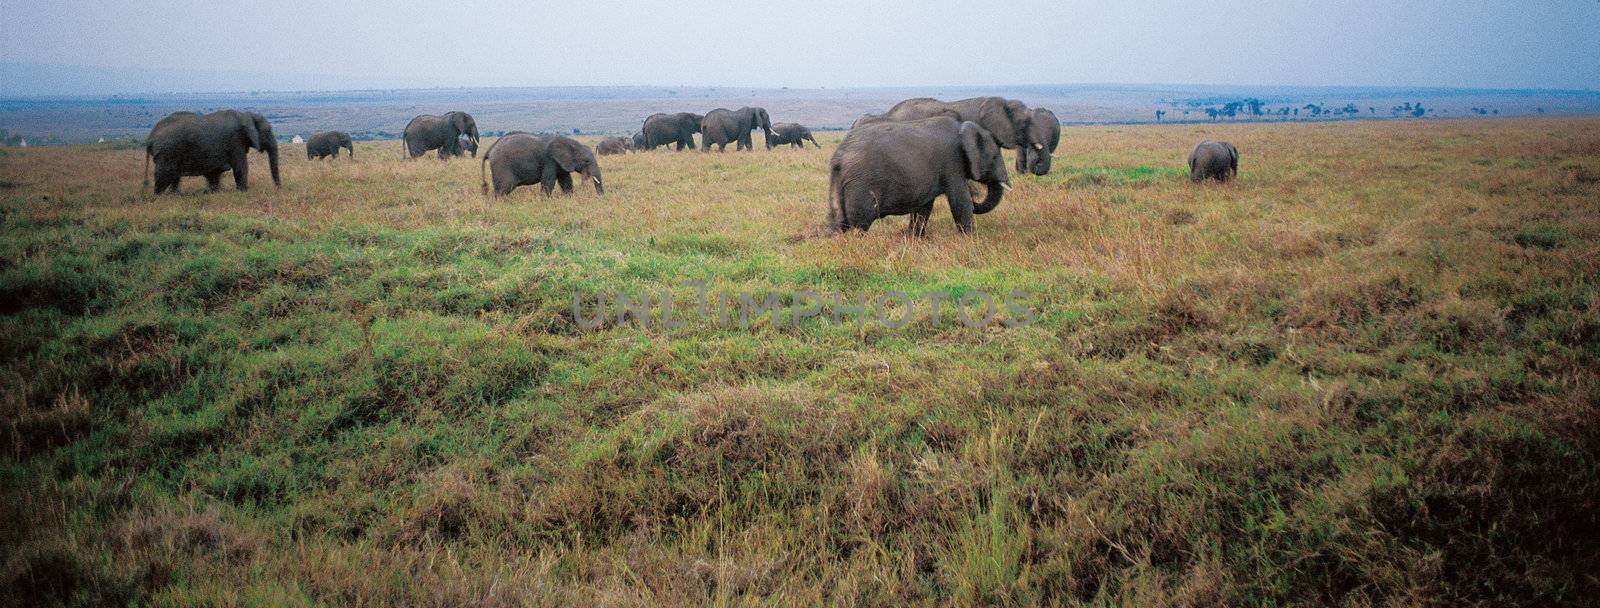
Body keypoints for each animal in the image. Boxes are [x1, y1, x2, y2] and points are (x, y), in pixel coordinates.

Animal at [144, 109, 281, 193]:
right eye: (268, 130)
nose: (278, 189)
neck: (246, 115)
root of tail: (150, 137)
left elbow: (214, 173)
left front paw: (214, 193)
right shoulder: (235, 141)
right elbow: (241, 167)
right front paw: (243, 192)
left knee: (174, 177)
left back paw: (175, 194)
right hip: (167, 153)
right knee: (164, 176)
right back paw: (159, 196)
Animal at [825, 116, 1011, 235]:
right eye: (995, 157)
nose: (976, 195)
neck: (963, 128)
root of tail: (839, 156)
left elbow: (924, 207)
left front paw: (915, 238)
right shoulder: (952, 163)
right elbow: (960, 200)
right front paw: (971, 239)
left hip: (838, 181)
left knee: (837, 221)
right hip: (861, 185)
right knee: (860, 223)